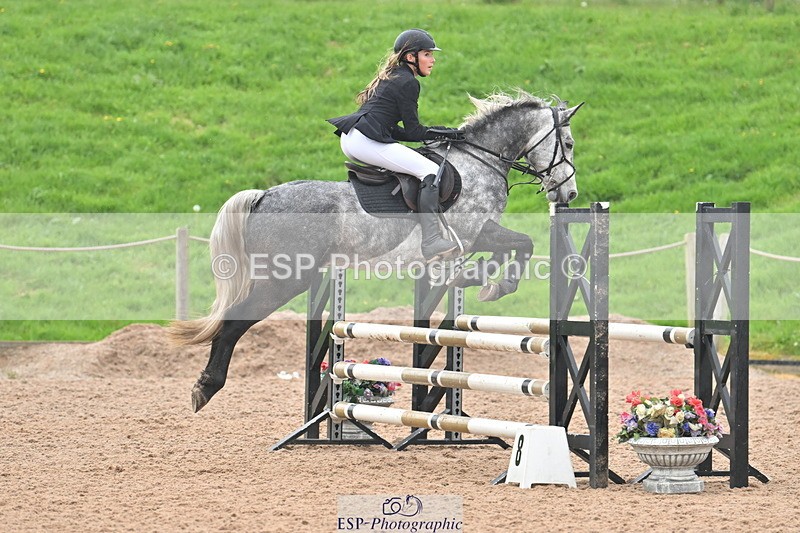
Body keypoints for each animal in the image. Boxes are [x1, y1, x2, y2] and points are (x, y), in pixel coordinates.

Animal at [168, 90, 584, 412]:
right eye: (569, 144)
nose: (569, 194)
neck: (480, 160)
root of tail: (264, 196)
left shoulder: (481, 233)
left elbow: (521, 244)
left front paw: (486, 281)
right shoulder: (472, 233)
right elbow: (517, 246)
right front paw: (489, 281)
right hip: (284, 280)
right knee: (233, 323)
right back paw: (205, 387)